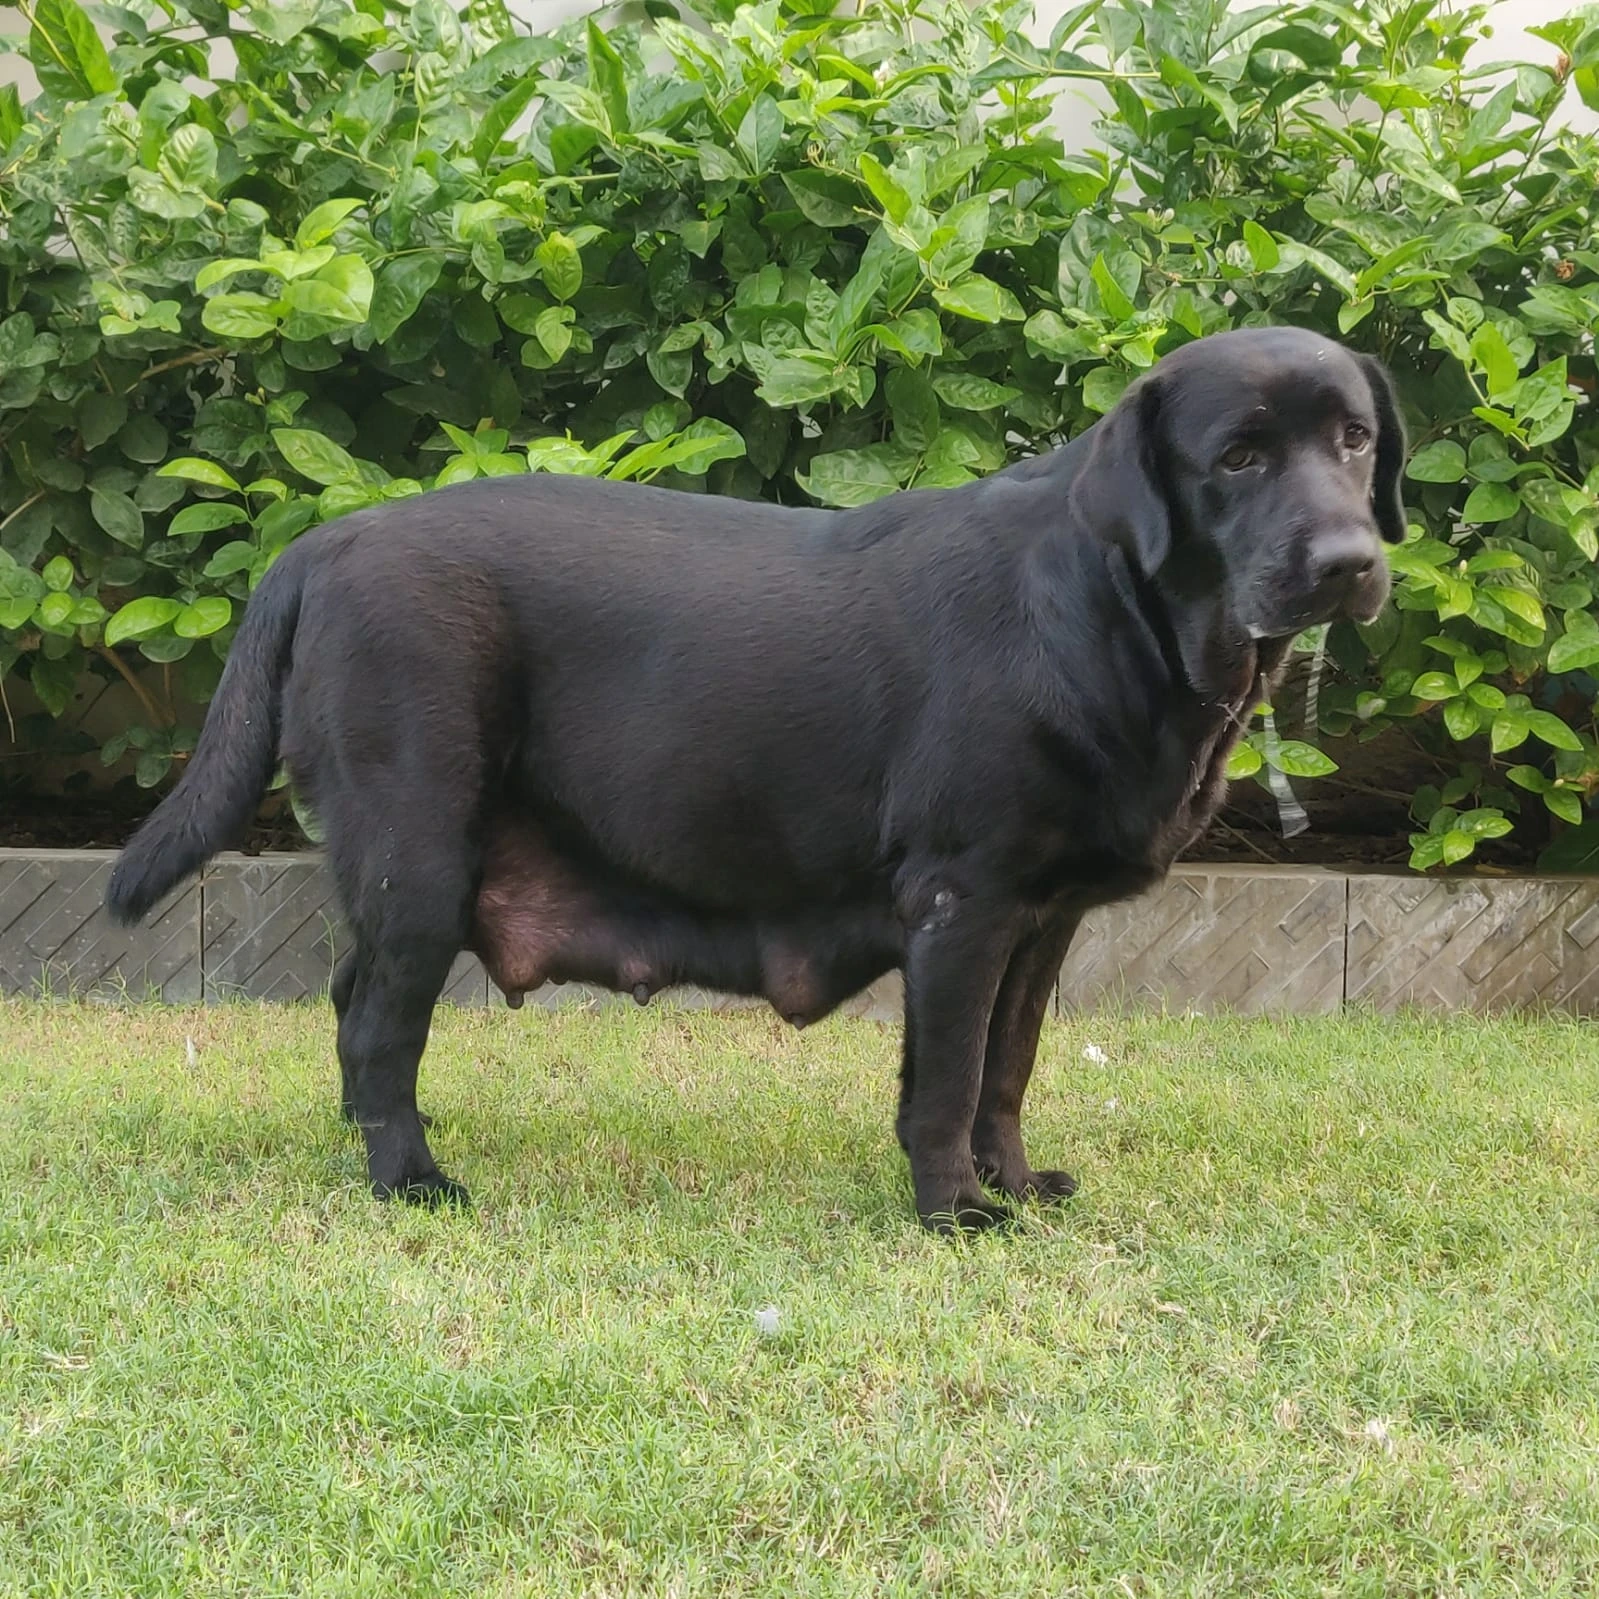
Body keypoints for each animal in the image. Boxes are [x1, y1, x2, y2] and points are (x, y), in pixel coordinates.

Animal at [106, 321, 1407, 1221]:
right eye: (1236, 457)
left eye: (1355, 441)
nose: (1351, 561)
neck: (1116, 614)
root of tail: (319, 544)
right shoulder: (962, 900)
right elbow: (945, 1082)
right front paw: (952, 1211)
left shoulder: (1042, 921)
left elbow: (1007, 1070)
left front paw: (1014, 1188)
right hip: (418, 852)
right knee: (380, 1026)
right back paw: (411, 1179)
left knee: (350, 1002)